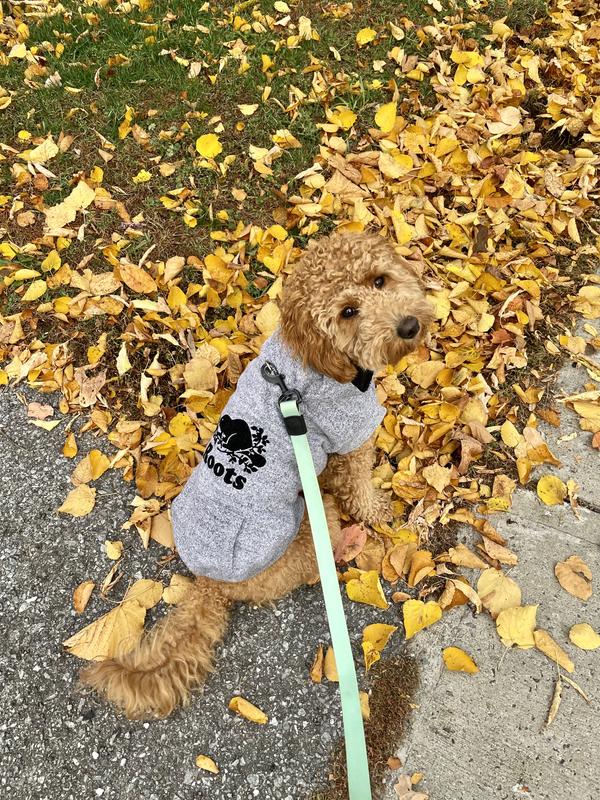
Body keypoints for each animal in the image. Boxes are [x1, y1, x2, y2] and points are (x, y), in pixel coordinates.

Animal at [82, 231, 434, 720]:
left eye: (379, 280)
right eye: (348, 312)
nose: (408, 326)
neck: (317, 358)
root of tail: (212, 582)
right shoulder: (351, 434)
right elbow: (358, 484)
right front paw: (377, 510)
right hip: (309, 529)